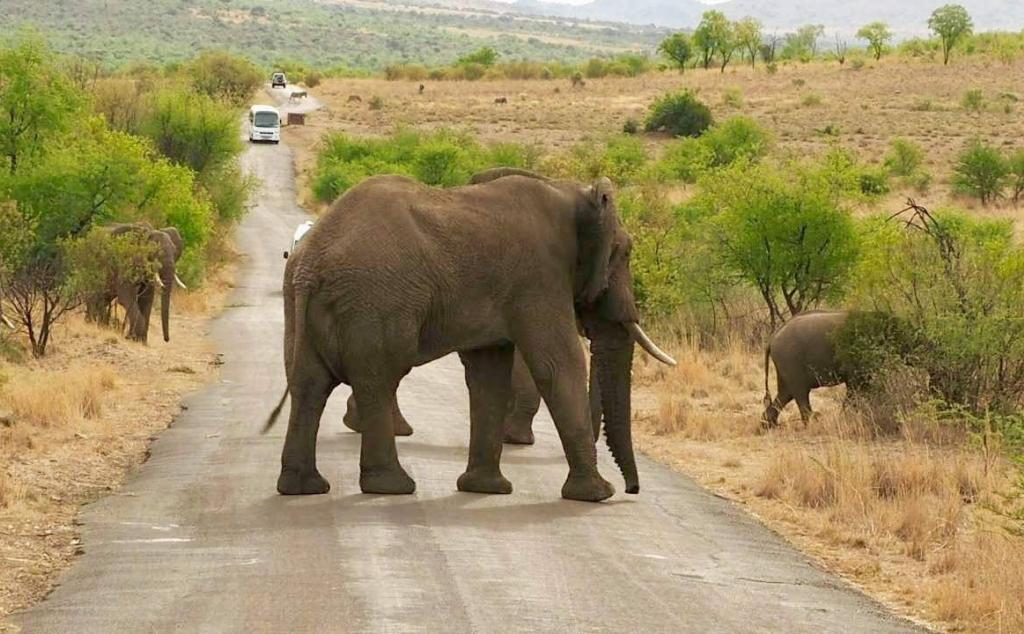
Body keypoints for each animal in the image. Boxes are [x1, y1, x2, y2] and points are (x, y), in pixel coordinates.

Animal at [264, 168, 675, 501]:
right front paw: (597, 495)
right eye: (626, 253)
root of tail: (311, 263)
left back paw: (304, 488)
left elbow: (488, 375)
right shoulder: (540, 277)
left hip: (300, 303)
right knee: (378, 380)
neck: (570, 191)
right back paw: (393, 487)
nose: (632, 489)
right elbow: (559, 365)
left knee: (309, 386)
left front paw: (485, 489)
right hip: (375, 301)